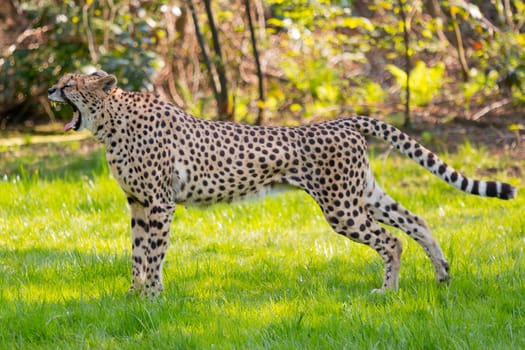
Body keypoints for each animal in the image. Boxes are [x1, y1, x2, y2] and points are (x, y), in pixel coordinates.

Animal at [47, 70, 512, 296]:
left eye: (69, 84)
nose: (50, 89)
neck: (110, 121)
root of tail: (344, 119)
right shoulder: (138, 203)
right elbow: (137, 253)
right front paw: (133, 295)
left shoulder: (159, 204)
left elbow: (154, 254)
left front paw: (152, 297)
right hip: (363, 195)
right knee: (417, 220)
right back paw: (442, 275)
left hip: (341, 207)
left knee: (392, 240)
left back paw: (387, 291)